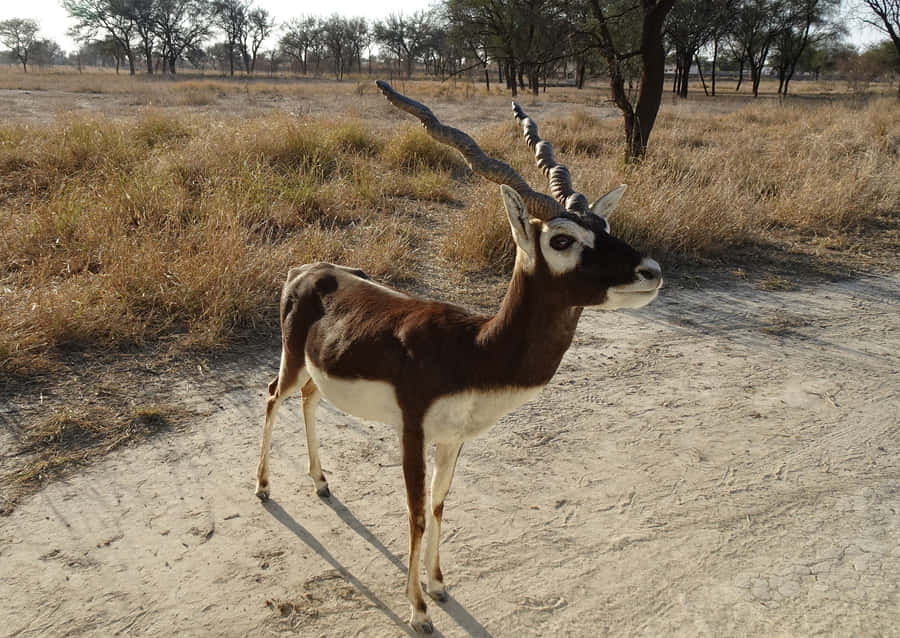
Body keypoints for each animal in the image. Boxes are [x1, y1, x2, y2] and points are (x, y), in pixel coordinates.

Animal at [255, 81, 662, 633]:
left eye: (604, 225)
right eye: (562, 238)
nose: (651, 270)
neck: (473, 349)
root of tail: (305, 269)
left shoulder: (453, 439)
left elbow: (440, 504)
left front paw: (439, 585)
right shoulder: (412, 431)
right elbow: (415, 512)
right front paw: (418, 610)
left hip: (318, 369)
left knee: (311, 399)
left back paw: (321, 484)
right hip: (292, 360)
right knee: (273, 396)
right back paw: (263, 488)